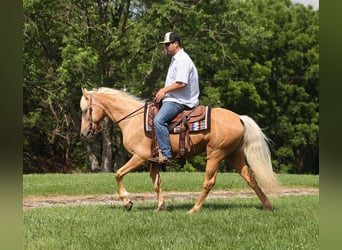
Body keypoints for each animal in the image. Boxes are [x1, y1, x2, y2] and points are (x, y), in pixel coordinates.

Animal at [81, 87, 280, 213]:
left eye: (84, 110)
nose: (84, 133)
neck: (132, 120)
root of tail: (239, 117)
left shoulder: (140, 157)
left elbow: (118, 174)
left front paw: (127, 202)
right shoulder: (153, 161)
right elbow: (157, 183)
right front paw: (161, 206)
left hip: (215, 154)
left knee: (209, 182)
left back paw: (194, 209)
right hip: (234, 155)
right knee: (250, 178)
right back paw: (268, 206)